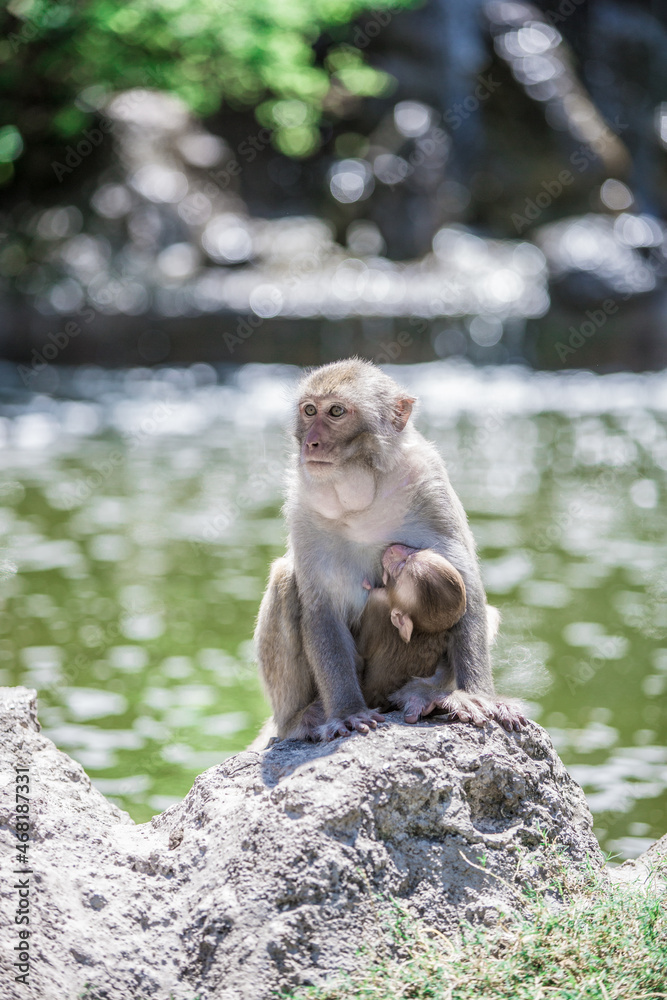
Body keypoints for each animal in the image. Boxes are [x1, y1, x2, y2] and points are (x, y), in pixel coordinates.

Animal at [354, 548, 470, 720]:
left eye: (399, 570)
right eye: (410, 556)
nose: (393, 549)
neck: (420, 630)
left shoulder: (378, 603)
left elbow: (360, 652)